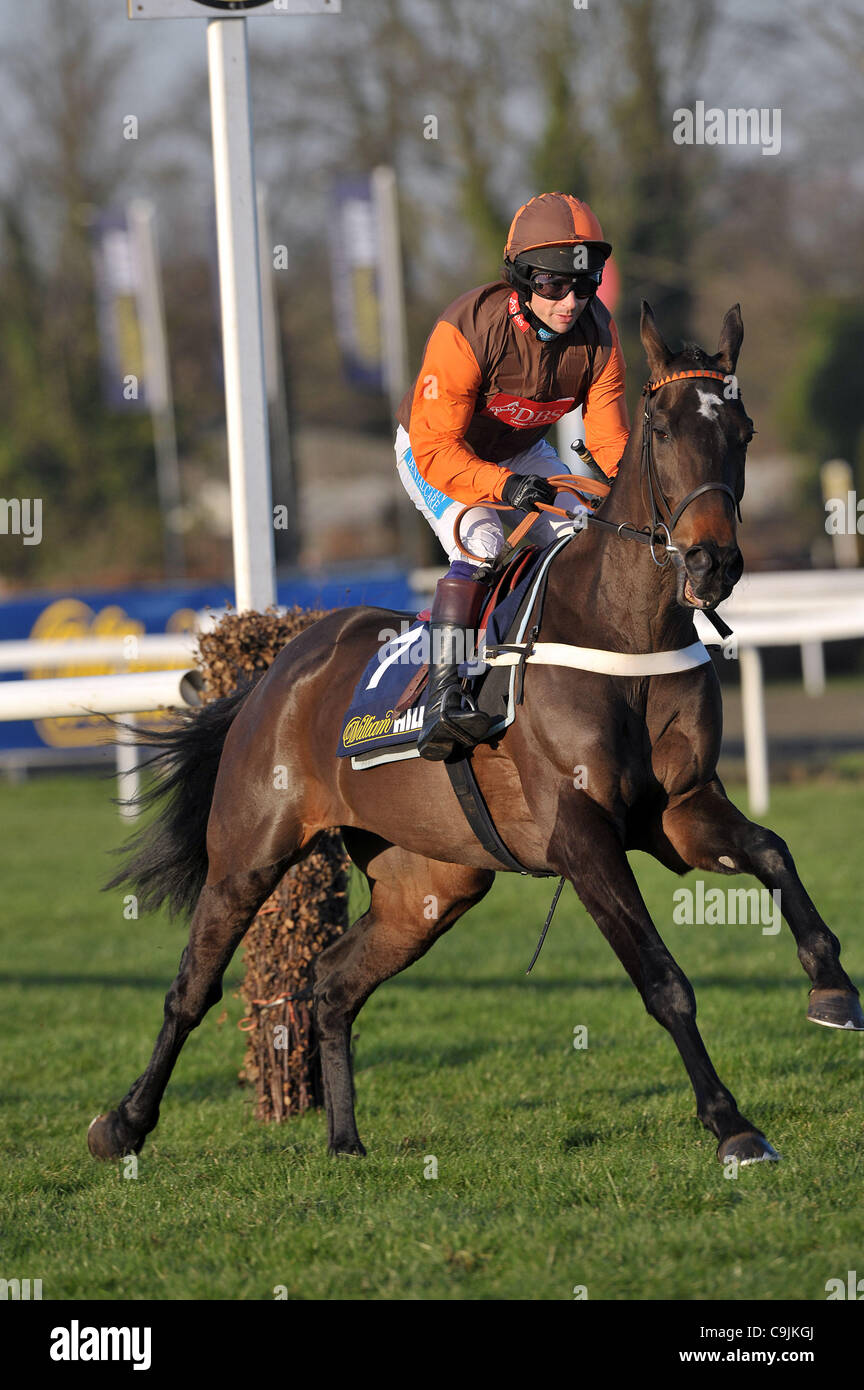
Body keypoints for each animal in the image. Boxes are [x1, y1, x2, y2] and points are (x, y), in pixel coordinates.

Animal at [89, 304, 864, 1173]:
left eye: (743, 430)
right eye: (662, 428)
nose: (712, 561)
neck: (622, 632)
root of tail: (277, 666)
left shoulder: (678, 811)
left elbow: (772, 850)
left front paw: (832, 987)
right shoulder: (580, 835)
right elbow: (663, 979)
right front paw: (731, 1123)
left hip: (430, 881)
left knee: (333, 979)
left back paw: (344, 1140)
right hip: (249, 852)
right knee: (192, 988)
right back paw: (122, 1125)